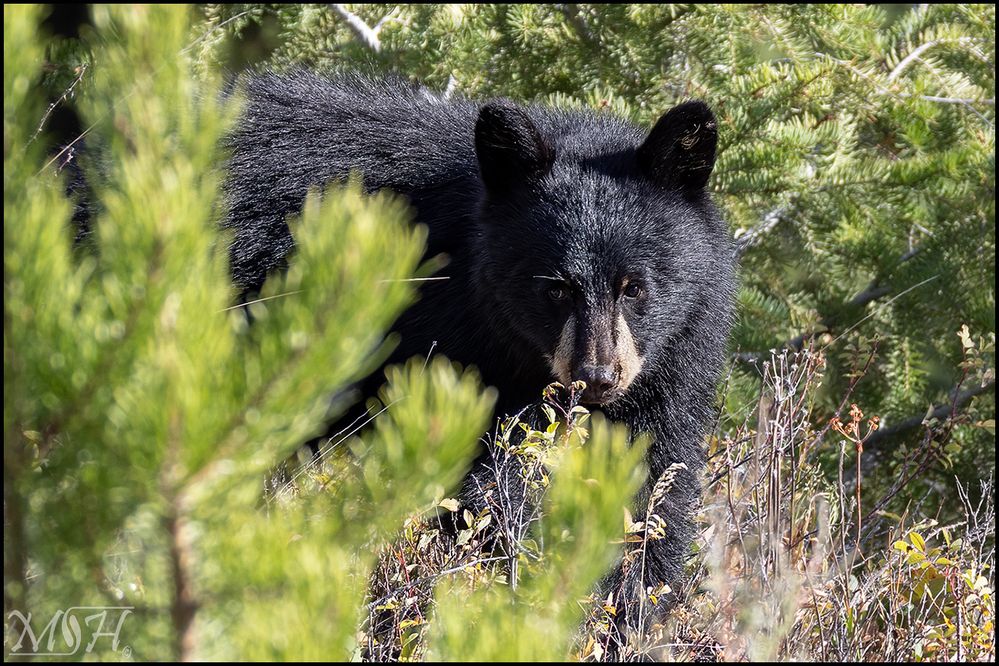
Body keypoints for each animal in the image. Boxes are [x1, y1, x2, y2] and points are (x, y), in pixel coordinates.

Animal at [219, 71, 737, 650]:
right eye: (555, 289)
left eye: (635, 286)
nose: (596, 378)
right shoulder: (459, 352)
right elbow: (492, 488)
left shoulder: (670, 368)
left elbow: (655, 487)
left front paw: (628, 620)